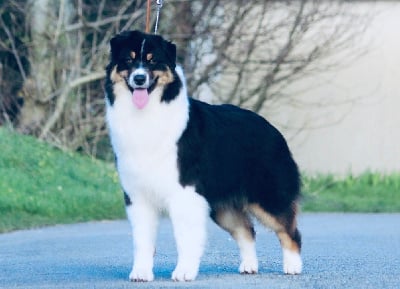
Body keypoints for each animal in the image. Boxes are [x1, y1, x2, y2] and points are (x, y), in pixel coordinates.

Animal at [104, 30, 302, 280]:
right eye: (128, 60)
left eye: (152, 60)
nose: (139, 79)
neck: (147, 114)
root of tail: (272, 128)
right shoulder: (138, 195)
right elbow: (142, 240)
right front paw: (141, 272)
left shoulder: (185, 193)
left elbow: (185, 238)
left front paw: (184, 272)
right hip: (222, 206)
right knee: (247, 230)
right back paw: (249, 266)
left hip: (268, 196)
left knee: (289, 231)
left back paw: (293, 266)